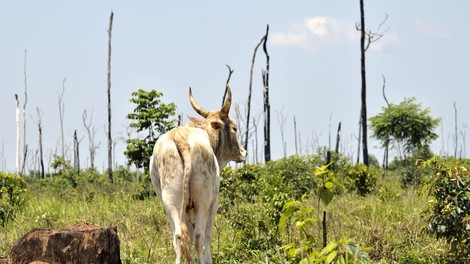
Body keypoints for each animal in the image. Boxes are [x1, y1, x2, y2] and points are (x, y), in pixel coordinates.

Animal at [150, 85, 246, 262]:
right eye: (235, 128)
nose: (244, 152)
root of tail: (179, 137)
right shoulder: (213, 201)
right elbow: (207, 235)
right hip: (202, 199)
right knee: (199, 236)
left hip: (170, 199)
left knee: (179, 236)